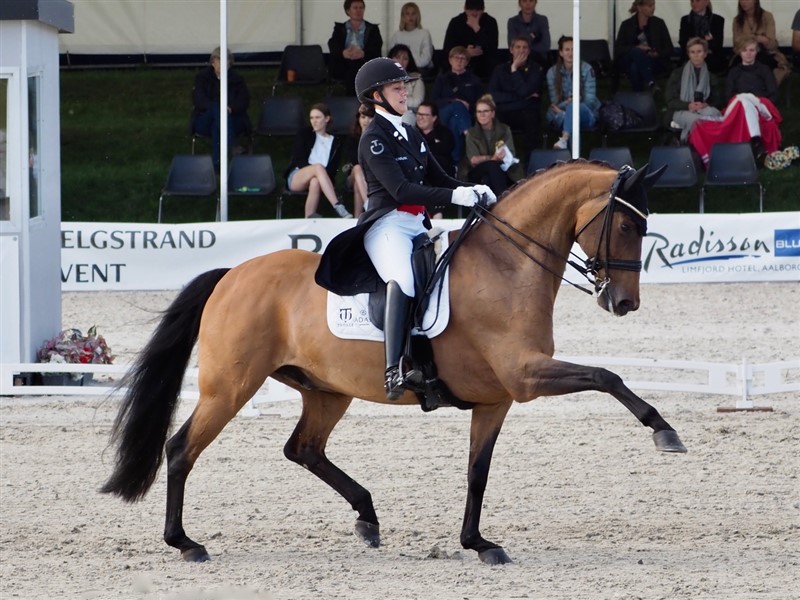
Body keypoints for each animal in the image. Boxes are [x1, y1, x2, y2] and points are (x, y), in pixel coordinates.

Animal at [100, 161, 688, 568]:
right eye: (626, 227)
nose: (624, 303)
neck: (506, 265)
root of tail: (231, 274)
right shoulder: (524, 375)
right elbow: (606, 375)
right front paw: (665, 432)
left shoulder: (496, 399)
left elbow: (477, 473)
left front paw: (478, 543)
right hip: (229, 388)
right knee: (182, 449)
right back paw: (186, 543)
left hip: (326, 391)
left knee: (303, 449)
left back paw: (368, 518)